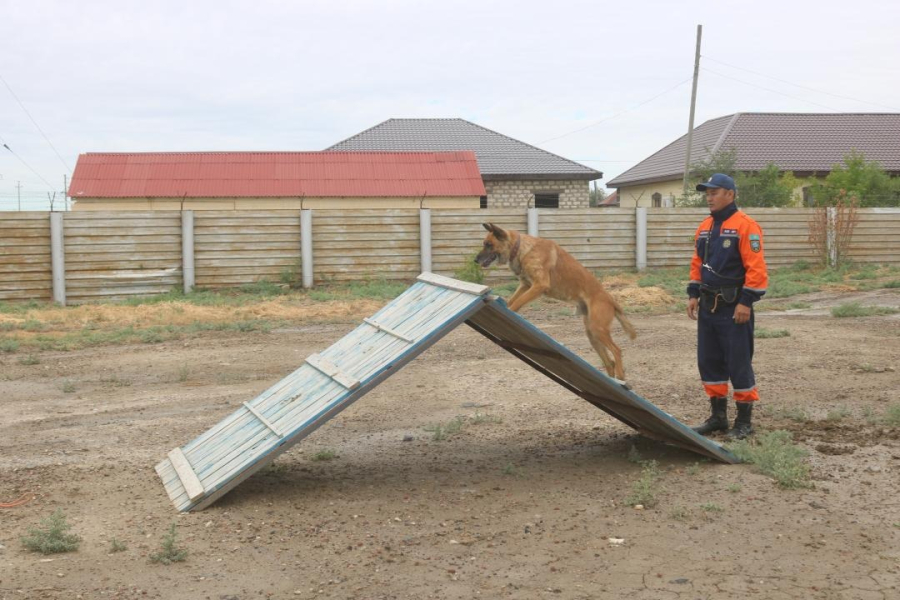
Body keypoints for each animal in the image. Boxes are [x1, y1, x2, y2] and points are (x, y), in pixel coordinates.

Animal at [474, 220, 636, 380]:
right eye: (484, 243)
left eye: (488, 244)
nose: (475, 260)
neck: (521, 248)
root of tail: (611, 299)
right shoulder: (526, 285)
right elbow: (513, 300)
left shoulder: (539, 285)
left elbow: (517, 303)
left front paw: (509, 312)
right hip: (592, 333)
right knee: (609, 362)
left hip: (598, 329)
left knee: (617, 350)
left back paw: (621, 377)